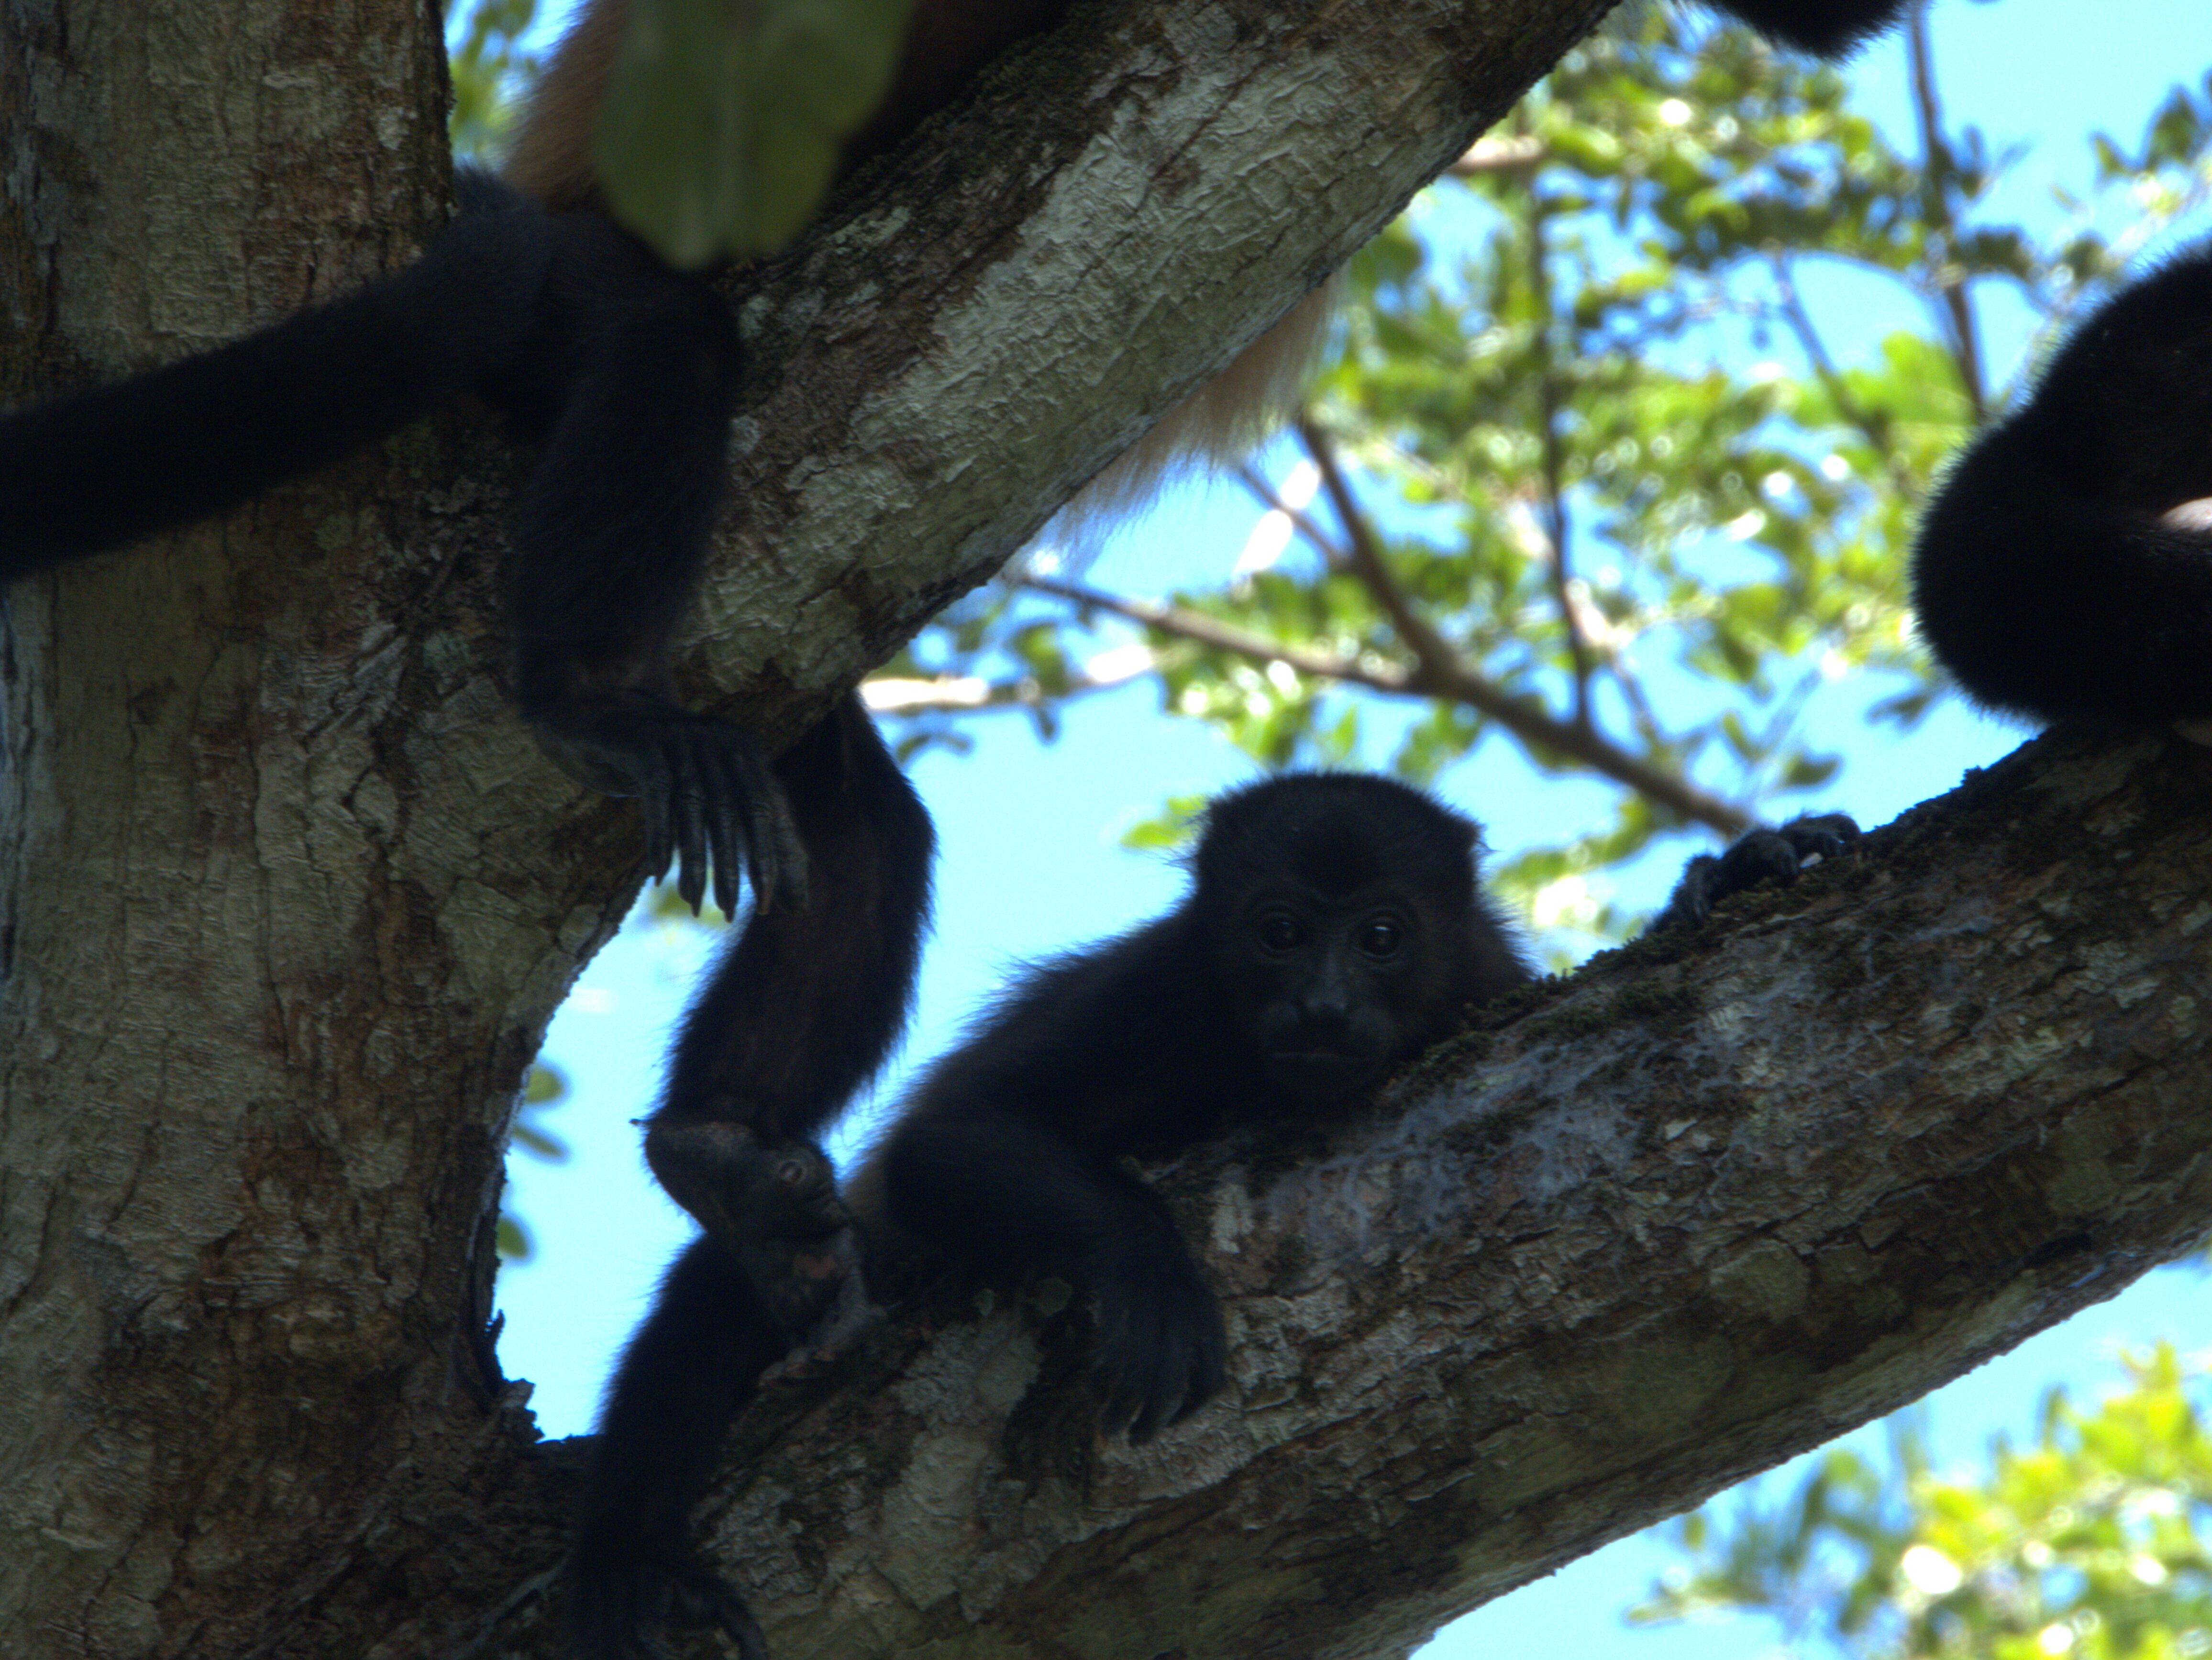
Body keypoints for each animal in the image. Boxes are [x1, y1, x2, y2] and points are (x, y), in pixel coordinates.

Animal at [572, 773, 1860, 1656]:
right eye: (1278, 930)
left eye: (1379, 935)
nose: (1323, 1003)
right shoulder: (1161, 986)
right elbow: (949, 1136)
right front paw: (1147, 1268)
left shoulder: (1477, 987)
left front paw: (1730, 877)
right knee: (717, 1291)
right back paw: (632, 1554)